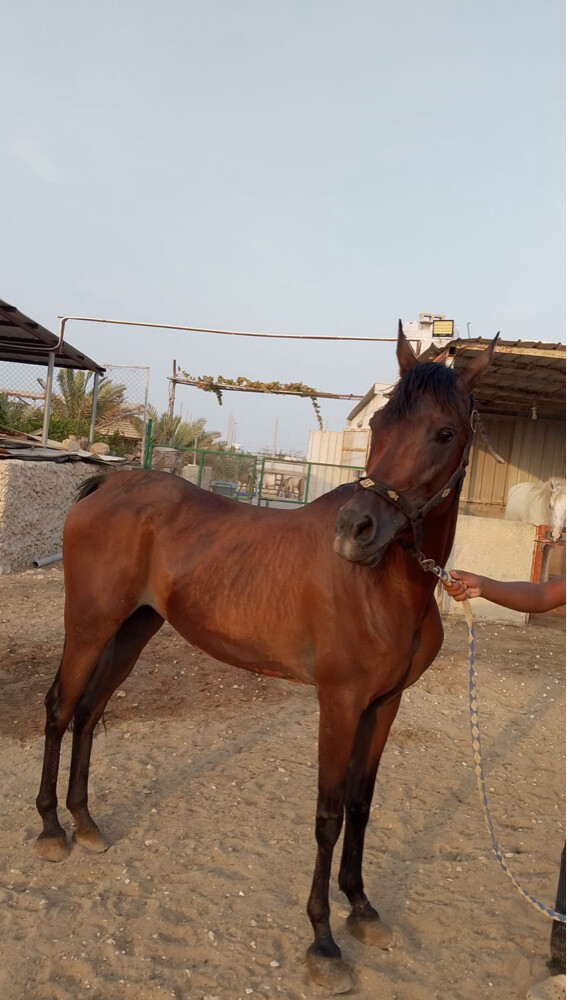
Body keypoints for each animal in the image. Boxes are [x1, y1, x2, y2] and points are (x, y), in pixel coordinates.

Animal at [35, 324, 497, 993]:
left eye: (443, 432)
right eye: (380, 424)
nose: (355, 529)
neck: (385, 584)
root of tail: (112, 485)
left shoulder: (384, 704)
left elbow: (361, 803)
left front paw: (362, 909)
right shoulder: (340, 703)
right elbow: (328, 813)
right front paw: (324, 942)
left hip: (132, 631)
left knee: (90, 713)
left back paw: (86, 822)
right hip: (90, 626)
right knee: (59, 708)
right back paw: (50, 829)